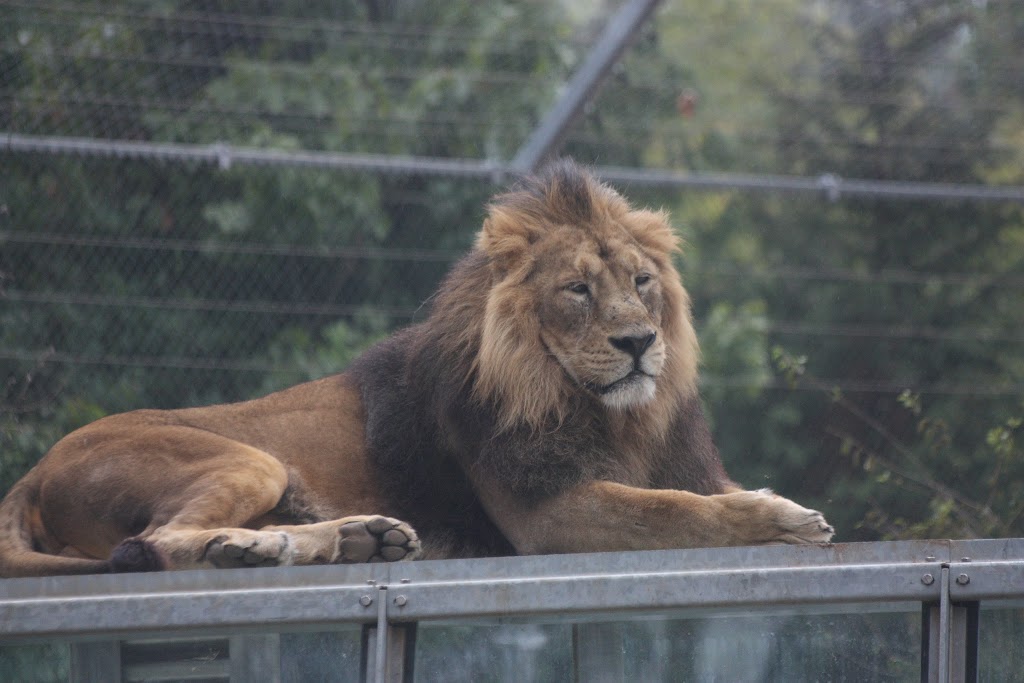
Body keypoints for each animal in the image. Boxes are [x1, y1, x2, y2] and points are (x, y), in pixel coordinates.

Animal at [0, 161, 831, 577]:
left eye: (642, 281)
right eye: (577, 290)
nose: (638, 342)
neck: (608, 410)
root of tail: (31, 474)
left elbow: (686, 494)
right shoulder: (545, 512)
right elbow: (674, 509)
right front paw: (786, 518)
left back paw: (356, 538)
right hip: (246, 456)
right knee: (156, 540)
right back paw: (254, 546)